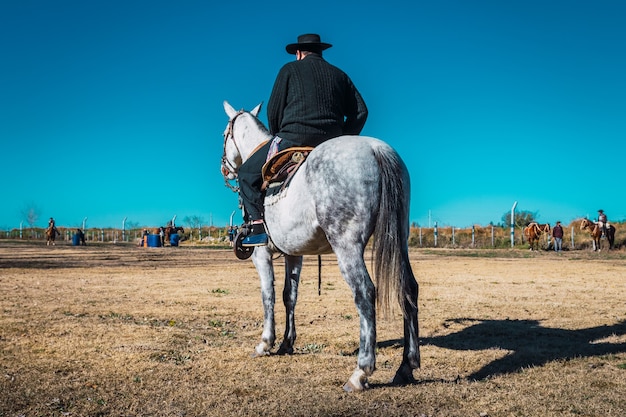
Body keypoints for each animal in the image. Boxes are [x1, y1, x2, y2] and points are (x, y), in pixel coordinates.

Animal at [219, 101, 420, 390]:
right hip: (399, 238)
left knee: (365, 292)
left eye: (224, 134)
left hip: (346, 244)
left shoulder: (261, 253)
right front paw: (286, 343)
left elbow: (268, 295)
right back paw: (406, 366)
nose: (224, 168)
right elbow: (289, 296)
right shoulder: (294, 254)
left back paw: (361, 372)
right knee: (408, 288)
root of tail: (376, 149)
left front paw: (265, 343)